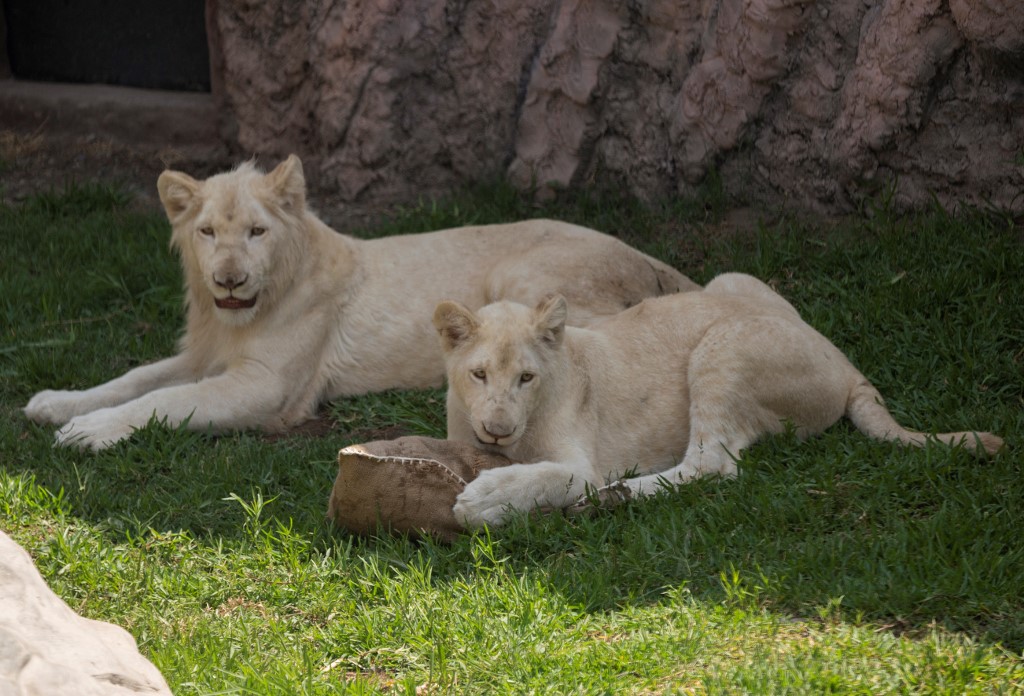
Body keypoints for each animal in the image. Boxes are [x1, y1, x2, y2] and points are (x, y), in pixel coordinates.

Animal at [24, 155, 698, 450]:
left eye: (257, 232)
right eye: (208, 232)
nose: (229, 280)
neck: (236, 319)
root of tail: (644, 254)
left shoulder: (268, 390)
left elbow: (165, 401)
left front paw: (88, 432)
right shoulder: (201, 355)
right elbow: (134, 378)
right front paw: (56, 403)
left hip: (524, 274)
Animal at [433, 272, 1004, 527]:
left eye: (526, 378)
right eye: (479, 374)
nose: (498, 430)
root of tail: (848, 368)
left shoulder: (581, 462)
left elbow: (549, 476)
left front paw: (483, 501)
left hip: (723, 348)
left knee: (712, 464)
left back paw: (616, 496)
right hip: (732, 281)